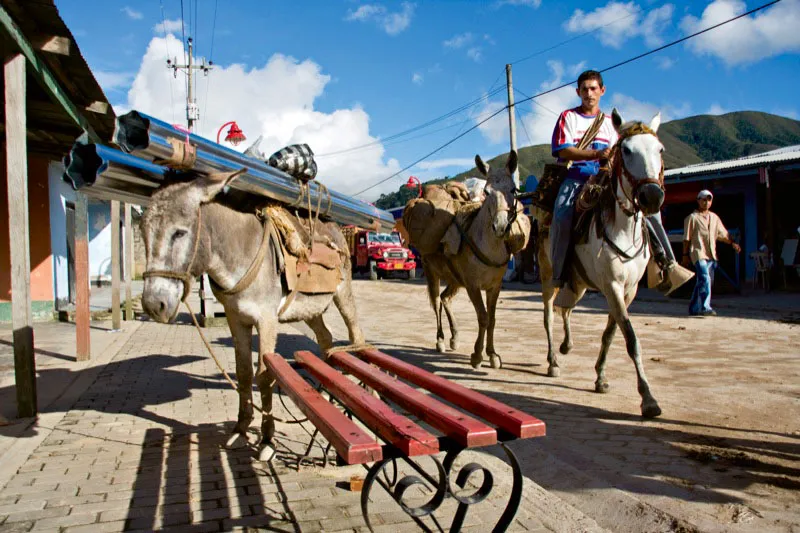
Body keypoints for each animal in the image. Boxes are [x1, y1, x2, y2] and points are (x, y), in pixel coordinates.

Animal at [536, 107, 668, 416]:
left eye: (659, 149)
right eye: (626, 150)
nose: (652, 196)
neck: (623, 227)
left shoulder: (629, 290)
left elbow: (611, 333)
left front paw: (601, 377)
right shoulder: (612, 286)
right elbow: (631, 338)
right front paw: (648, 398)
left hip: (580, 282)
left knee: (566, 309)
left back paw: (567, 346)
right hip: (550, 275)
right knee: (550, 314)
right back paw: (553, 361)